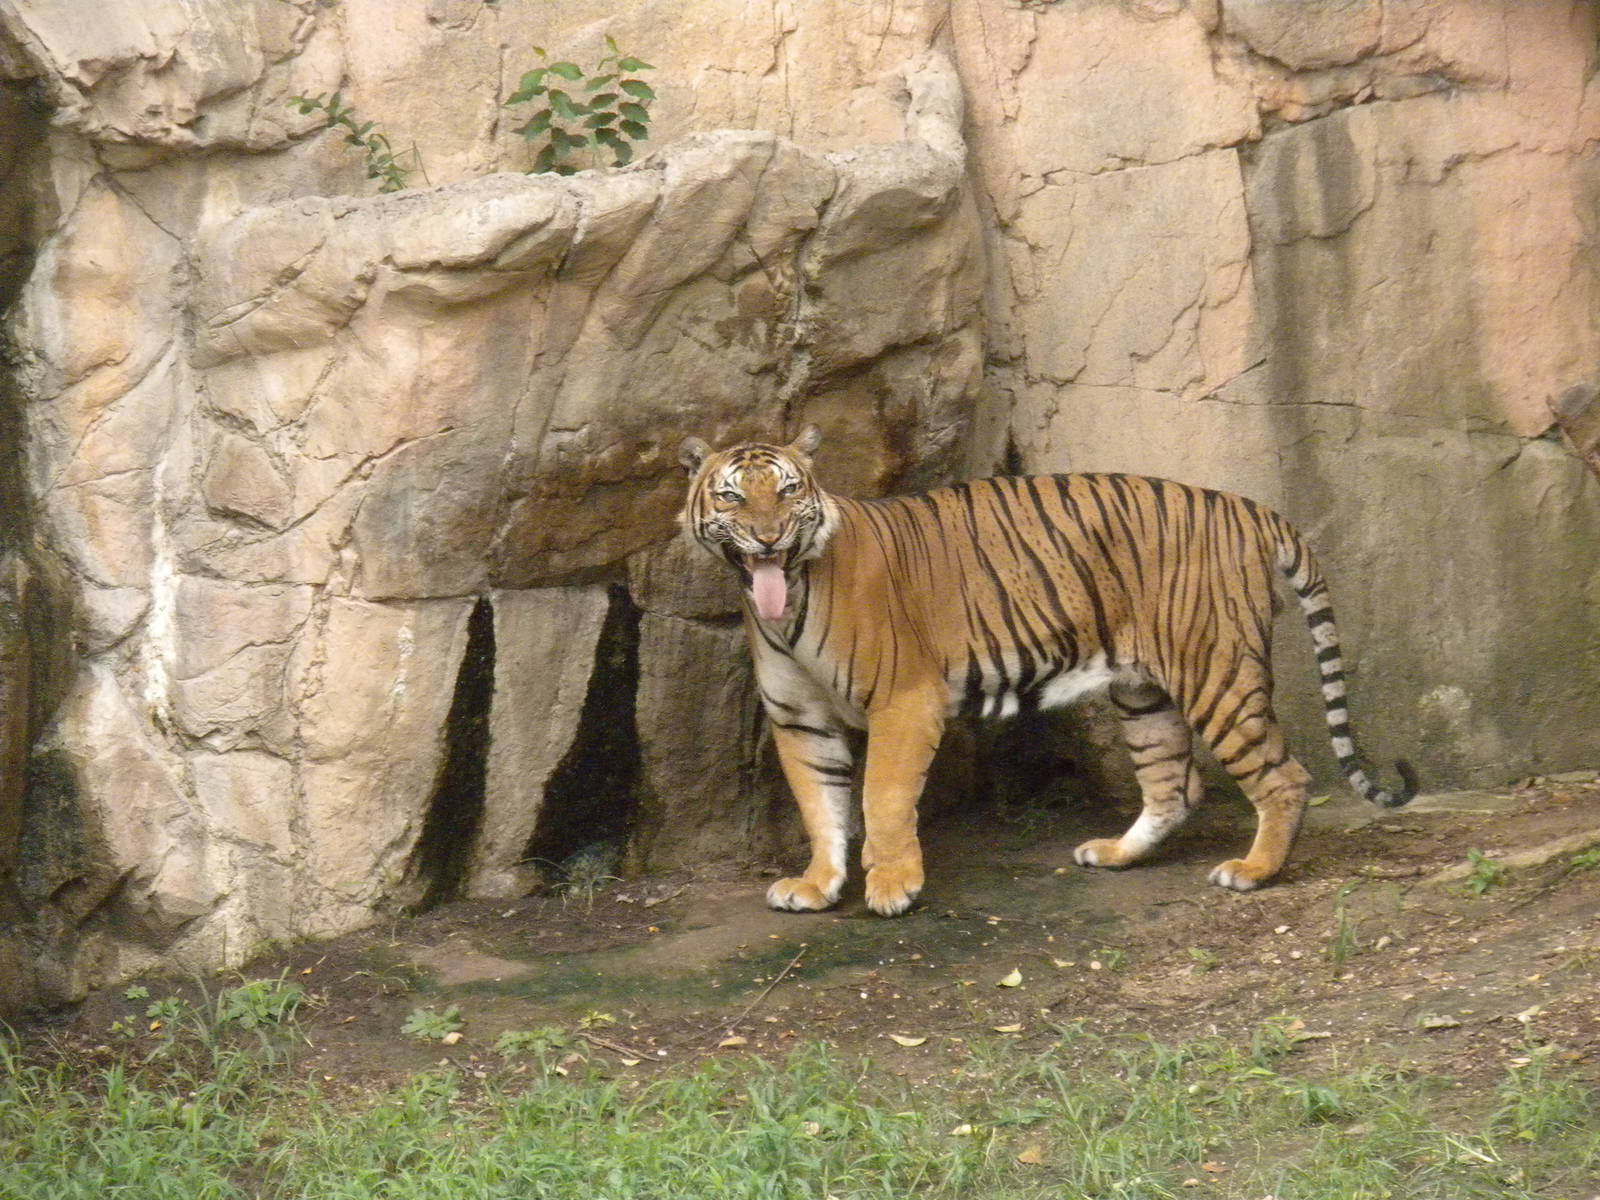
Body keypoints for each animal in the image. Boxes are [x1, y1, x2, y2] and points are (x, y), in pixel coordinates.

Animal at [677, 425, 1416, 917]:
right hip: (1144, 690)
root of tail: (1248, 507)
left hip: (1216, 672)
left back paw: (1254, 871)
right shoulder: (799, 719)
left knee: (1284, 777)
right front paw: (817, 884)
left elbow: (881, 797)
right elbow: (820, 804)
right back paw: (1116, 854)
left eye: (788, 490)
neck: (789, 598)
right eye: (733, 498)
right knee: (1174, 785)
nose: (768, 538)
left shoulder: (904, 700)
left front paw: (891, 886)